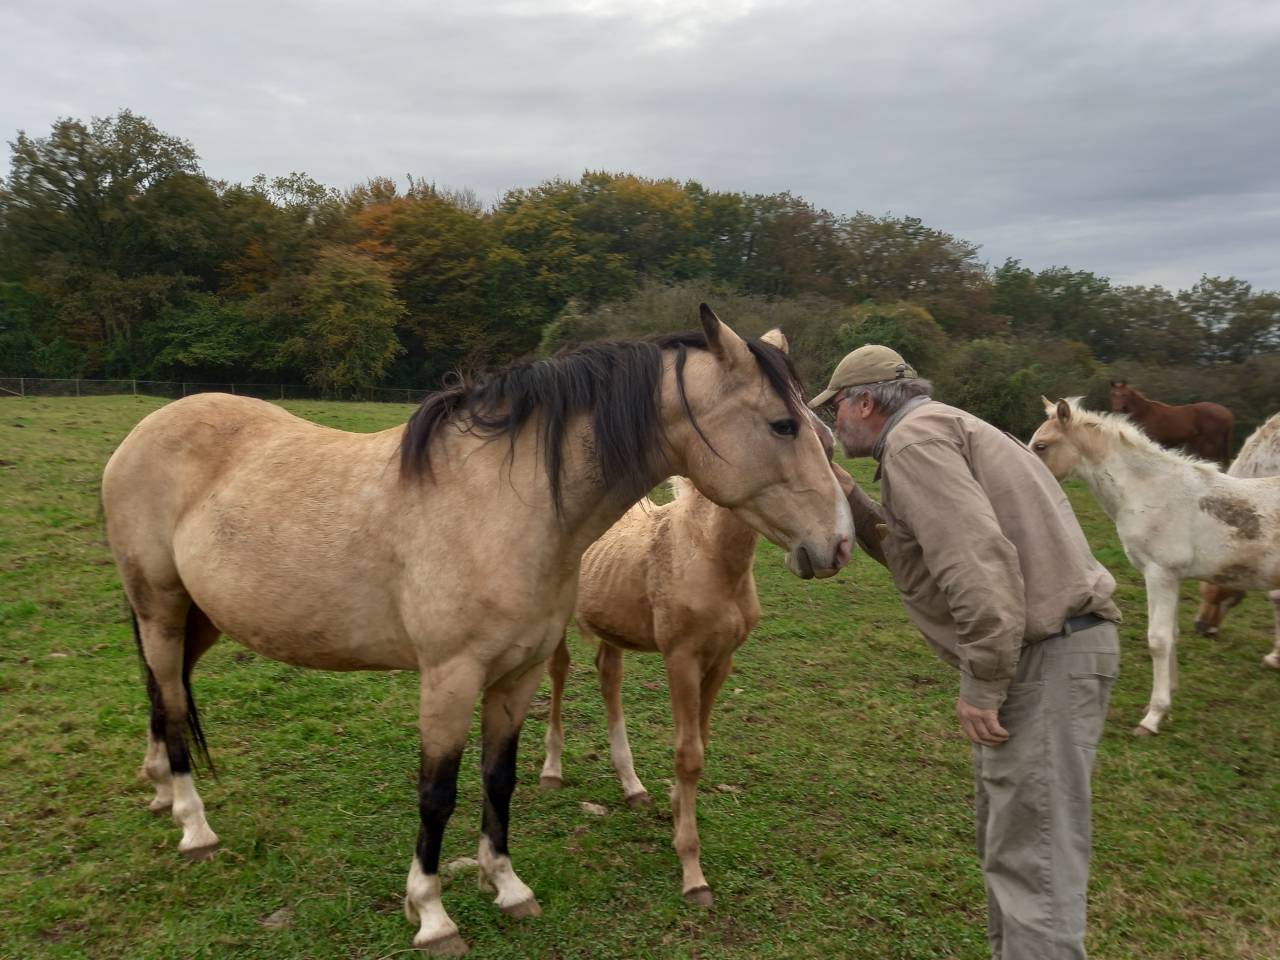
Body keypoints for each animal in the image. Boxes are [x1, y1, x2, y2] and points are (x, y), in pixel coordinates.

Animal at [101, 305, 854, 955]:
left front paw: (509, 886)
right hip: (160, 608)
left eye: (822, 432)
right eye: (783, 425)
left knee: (162, 696)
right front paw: (432, 913)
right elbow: (437, 794)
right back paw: (194, 824)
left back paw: (161, 792)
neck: (503, 504)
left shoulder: (518, 675)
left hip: (196, 618)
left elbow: (500, 779)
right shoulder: (449, 678)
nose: (839, 544)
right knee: (172, 704)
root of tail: (142, 432)